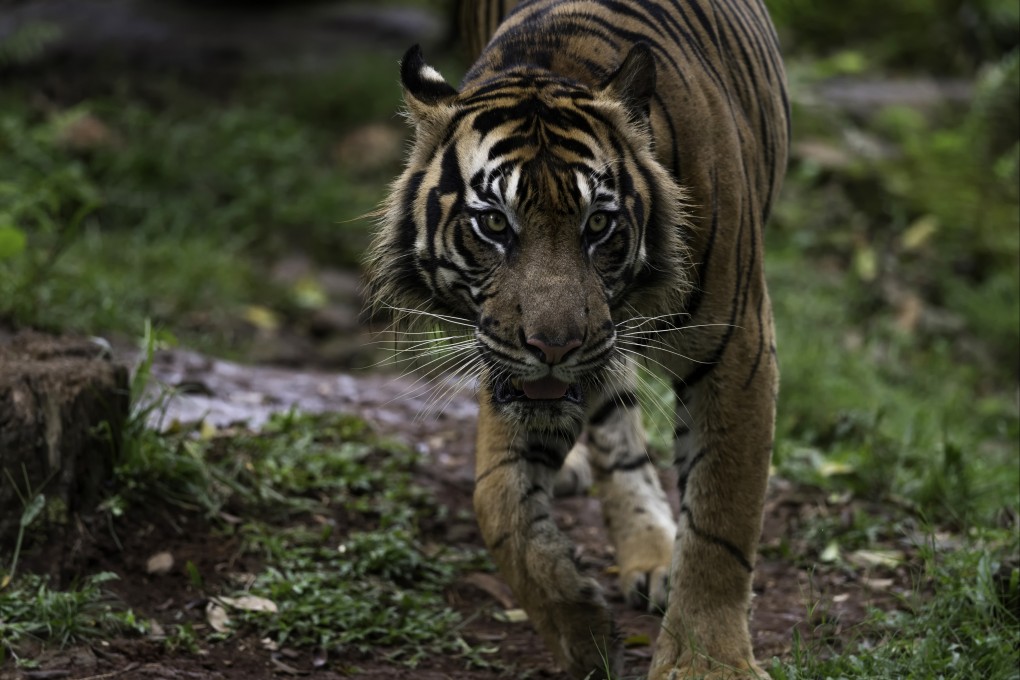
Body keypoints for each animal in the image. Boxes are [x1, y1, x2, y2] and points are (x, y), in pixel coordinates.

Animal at [366, 0, 789, 677]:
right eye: (494, 224)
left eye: (598, 224)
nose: (555, 347)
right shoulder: (509, 366)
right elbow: (498, 503)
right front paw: (583, 633)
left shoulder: (738, 349)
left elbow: (722, 518)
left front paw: (708, 662)